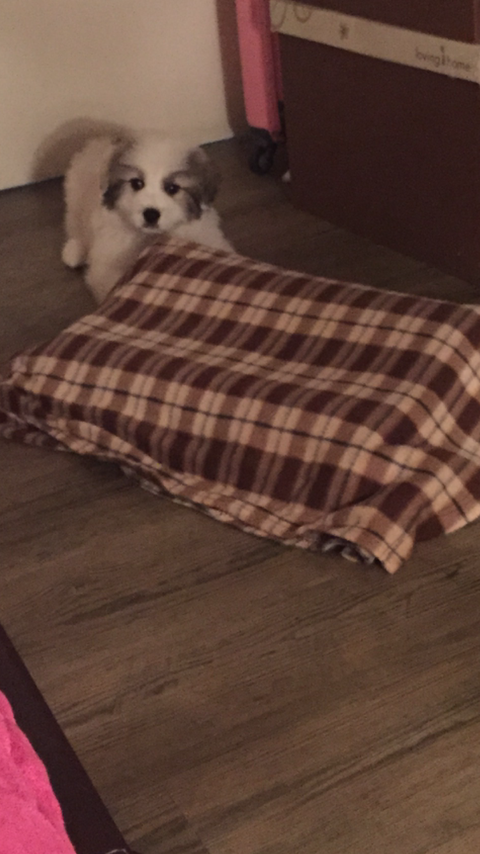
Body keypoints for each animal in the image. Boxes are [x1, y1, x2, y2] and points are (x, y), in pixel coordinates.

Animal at [62, 132, 233, 302]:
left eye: (172, 188)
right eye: (136, 183)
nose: (151, 214)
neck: (149, 237)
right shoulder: (106, 265)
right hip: (75, 194)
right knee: (75, 225)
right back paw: (74, 251)